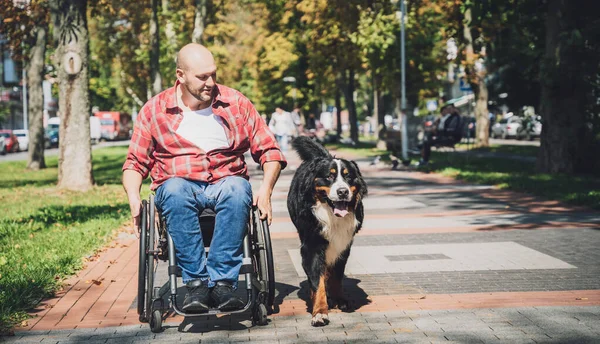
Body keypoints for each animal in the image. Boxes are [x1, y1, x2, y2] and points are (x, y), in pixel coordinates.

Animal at [286, 136, 366, 326]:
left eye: (348, 176)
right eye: (329, 176)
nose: (342, 191)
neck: (331, 215)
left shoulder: (343, 245)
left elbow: (336, 276)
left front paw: (339, 299)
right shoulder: (312, 246)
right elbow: (318, 282)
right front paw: (320, 312)